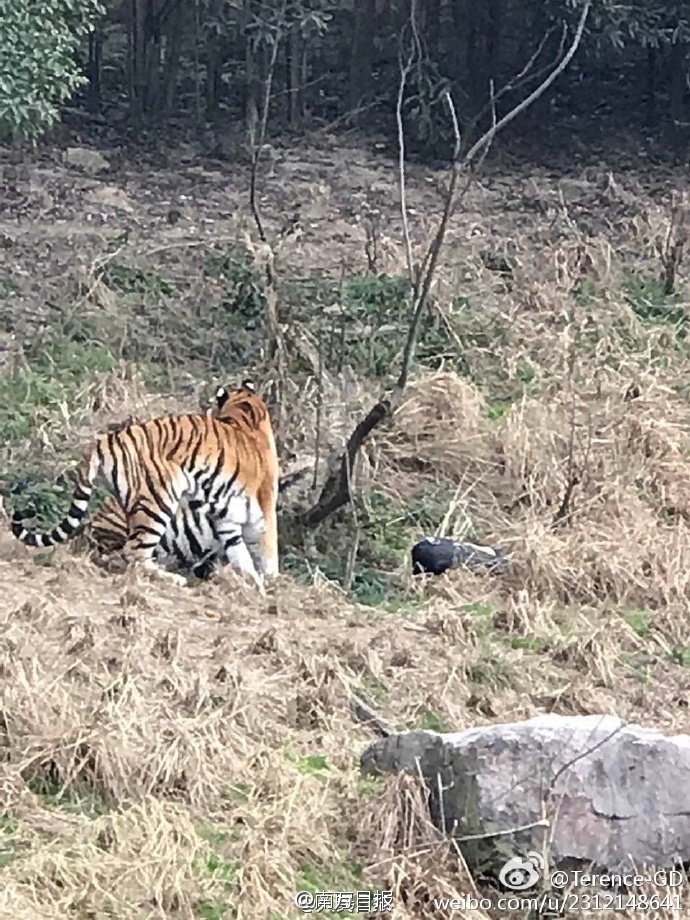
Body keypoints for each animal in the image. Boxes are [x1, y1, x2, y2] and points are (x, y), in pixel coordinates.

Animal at [9, 379, 279, 590]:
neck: (246, 413)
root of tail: (107, 439)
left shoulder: (227, 520)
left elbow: (240, 554)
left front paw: (253, 584)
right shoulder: (265, 505)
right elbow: (267, 548)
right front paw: (271, 582)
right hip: (157, 502)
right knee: (134, 552)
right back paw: (172, 580)